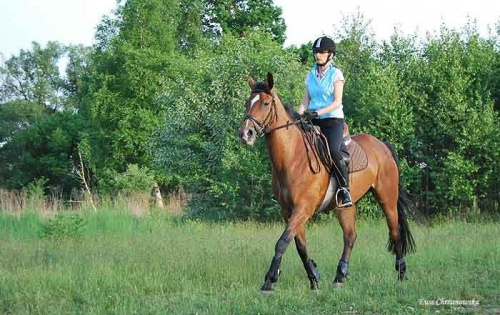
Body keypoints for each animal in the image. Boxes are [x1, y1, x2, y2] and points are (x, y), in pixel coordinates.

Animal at [238, 73, 414, 294]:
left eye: (265, 103)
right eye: (247, 103)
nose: (246, 134)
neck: (293, 158)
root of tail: (382, 145)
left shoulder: (303, 208)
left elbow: (282, 242)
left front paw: (269, 281)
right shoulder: (289, 211)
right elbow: (299, 246)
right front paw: (314, 278)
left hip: (387, 198)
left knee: (395, 232)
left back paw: (402, 275)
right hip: (345, 206)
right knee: (350, 236)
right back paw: (339, 277)